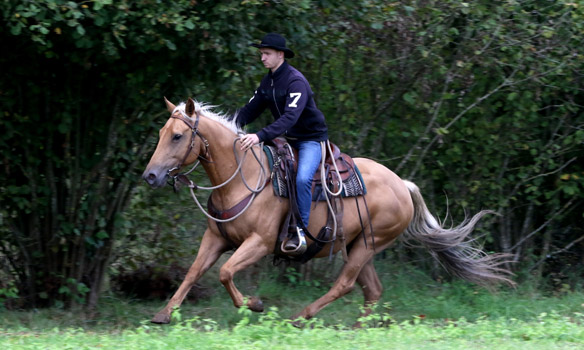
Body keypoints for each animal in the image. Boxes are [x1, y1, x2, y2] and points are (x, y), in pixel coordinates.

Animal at [144, 97, 512, 324]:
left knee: (345, 285)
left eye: (177, 136)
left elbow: (224, 273)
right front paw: (164, 313)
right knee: (371, 290)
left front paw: (255, 304)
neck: (244, 177)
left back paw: (300, 317)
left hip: (370, 244)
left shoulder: (260, 242)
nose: (151, 176)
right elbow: (195, 271)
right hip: (358, 244)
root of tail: (402, 185)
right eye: (161, 133)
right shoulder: (215, 238)